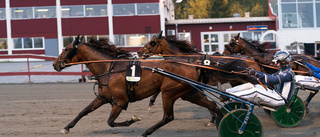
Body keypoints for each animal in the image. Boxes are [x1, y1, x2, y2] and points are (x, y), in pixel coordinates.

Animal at [52, 35, 224, 136]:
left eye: (66, 49)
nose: (54, 64)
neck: (109, 68)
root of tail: (192, 65)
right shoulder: (102, 97)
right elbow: (84, 111)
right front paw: (67, 127)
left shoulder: (120, 101)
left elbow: (110, 122)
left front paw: (132, 120)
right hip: (189, 94)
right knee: (213, 105)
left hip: (168, 93)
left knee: (168, 117)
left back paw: (146, 132)